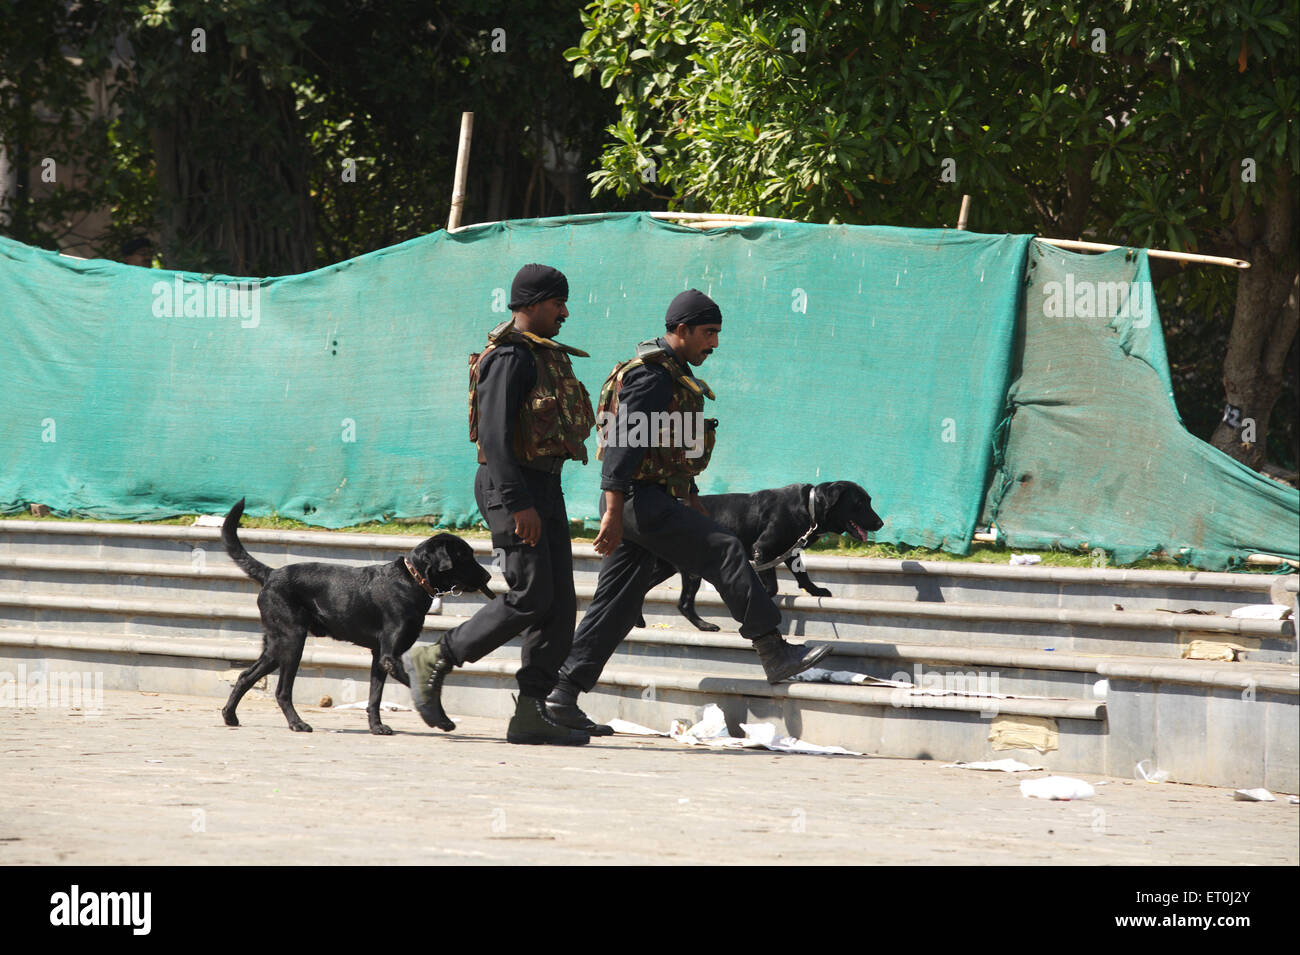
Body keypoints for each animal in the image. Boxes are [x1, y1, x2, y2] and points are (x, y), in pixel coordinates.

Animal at [219, 496, 491, 738]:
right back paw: (297, 723)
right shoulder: (390, 657)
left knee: (245, 676)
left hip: (276, 646)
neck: (413, 579)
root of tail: (271, 573)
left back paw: (230, 716)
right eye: (466, 556)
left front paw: (377, 727)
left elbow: (374, 697)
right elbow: (419, 687)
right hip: (292, 641)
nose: (489, 576)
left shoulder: (379, 657)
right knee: (282, 690)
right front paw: (441, 720)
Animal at [670, 480, 883, 631]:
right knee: (685, 603)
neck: (809, 507)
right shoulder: (762, 550)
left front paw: (816, 590)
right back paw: (705, 625)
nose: (880, 524)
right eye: (860, 503)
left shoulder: (791, 551)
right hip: (693, 571)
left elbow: (803, 575)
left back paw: (703, 626)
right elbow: (772, 585)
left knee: (683, 604)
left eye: (869, 501)